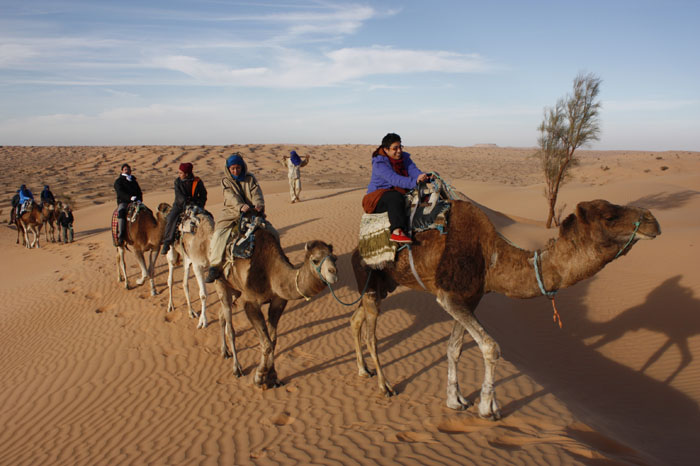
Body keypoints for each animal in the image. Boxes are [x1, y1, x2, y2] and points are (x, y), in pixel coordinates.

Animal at [213, 224, 340, 388]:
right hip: (221, 282)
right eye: (316, 260)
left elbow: (272, 340)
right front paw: (260, 376)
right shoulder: (250, 302)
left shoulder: (278, 301)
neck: (272, 271)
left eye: (335, 258)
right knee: (230, 326)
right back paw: (237, 368)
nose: (333, 273)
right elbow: (266, 343)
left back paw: (225, 351)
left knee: (221, 313)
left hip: (235, 289)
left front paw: (273, 377)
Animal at [350, 198, 660, 420]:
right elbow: (491, 347)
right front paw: (489, 407)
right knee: (370, 333)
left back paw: (364, 371)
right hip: (369, 277)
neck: (492, 257)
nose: (652, 220)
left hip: (383, 286)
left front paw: (455, 401)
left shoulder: (470, 298)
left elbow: (454, 348)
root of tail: (354, 250)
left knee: (356, 319)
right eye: (609, 217)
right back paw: (385, 386)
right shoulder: (449, 296)